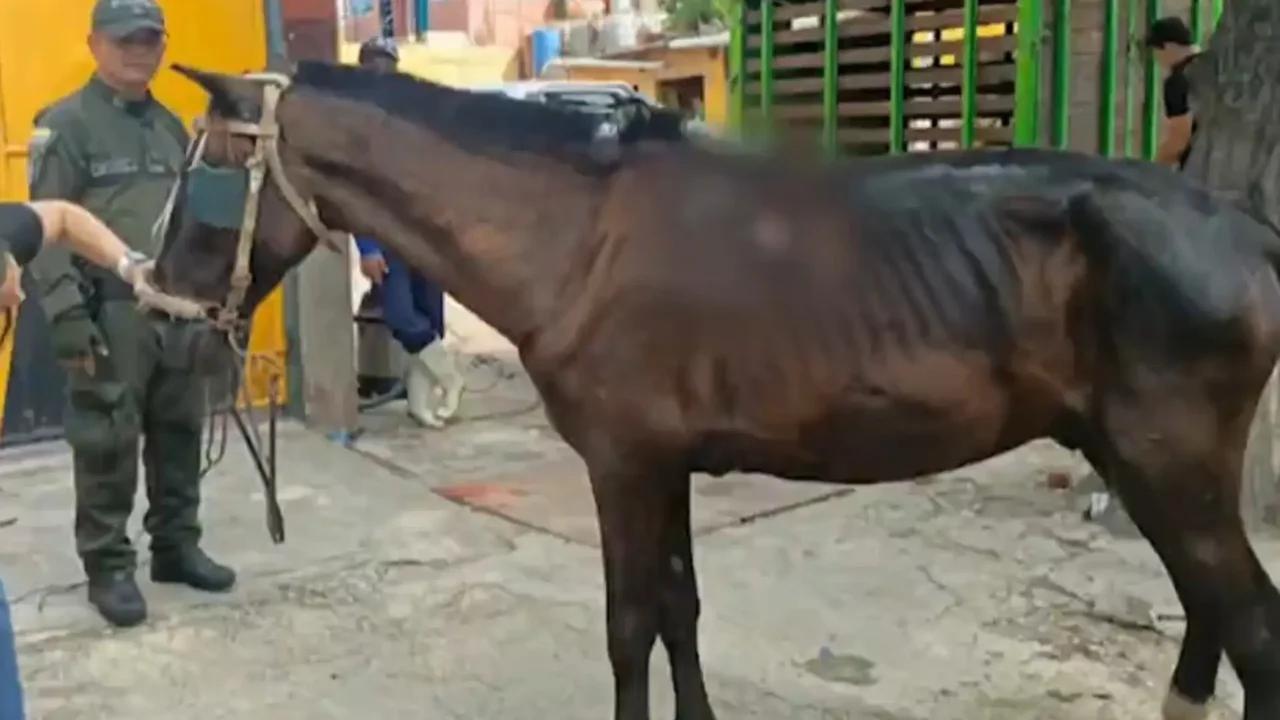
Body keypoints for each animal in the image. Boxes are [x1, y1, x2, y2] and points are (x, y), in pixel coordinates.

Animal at [147, 61, 1280, 720]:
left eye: (208, 171)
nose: (160, 309)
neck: (575, 237)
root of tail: (1241, 230)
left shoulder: (623, 467)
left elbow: (628, 626)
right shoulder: (668, 465)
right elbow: (680, 612)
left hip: (1170, 467)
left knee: (1251, 629)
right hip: (1135, 462)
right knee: (1210, 617)